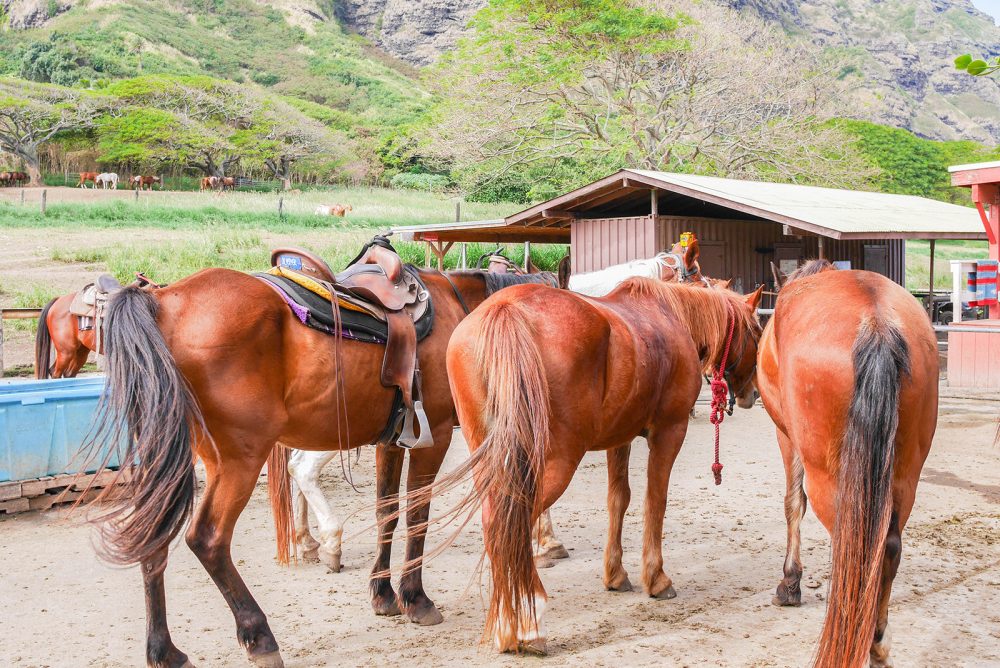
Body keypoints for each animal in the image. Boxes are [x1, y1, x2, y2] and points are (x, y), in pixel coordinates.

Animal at [442, 276, 760, 652]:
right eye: (757, 330)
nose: (753, 394)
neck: (672, 316)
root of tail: (504, 310)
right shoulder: (669, 432)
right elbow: (655, 501)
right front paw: (656, 578)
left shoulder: (619, 438)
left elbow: (618, 500)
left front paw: (615, 575)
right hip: (555, 462)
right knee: (512, 524)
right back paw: (527, 626)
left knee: (496, 526)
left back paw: (506, 624)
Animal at [756, 260, 936, 668]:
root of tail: (876, 323)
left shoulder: (786, 436)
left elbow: (793, 504)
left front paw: (790, 582)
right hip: (904, 475)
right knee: (886, 547)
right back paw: (877, 643)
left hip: (830, 476)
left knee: (850, 548)